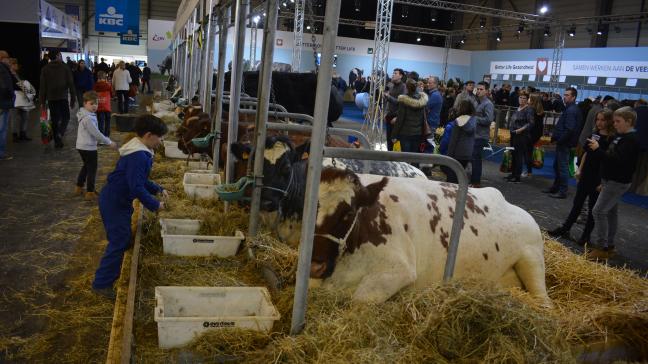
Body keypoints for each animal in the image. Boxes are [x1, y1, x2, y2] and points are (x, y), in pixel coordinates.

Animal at [312, 168, 548, 304]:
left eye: (348, 212)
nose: (315, 265)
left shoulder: (399, 269)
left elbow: (360, 300)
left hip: (532, 258)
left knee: (544, 301)